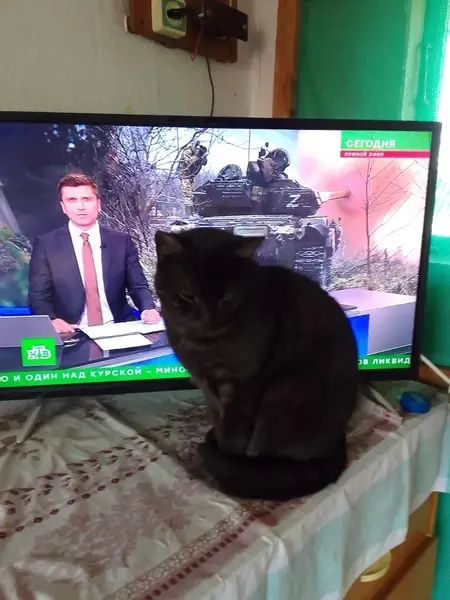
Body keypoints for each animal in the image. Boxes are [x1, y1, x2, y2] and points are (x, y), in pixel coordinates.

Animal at [154, 227, 359, 501]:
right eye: (188, 295)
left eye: (226, 298)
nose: (209, 318)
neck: (204, 345)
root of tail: (339, 441)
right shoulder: (206, 384)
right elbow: (218, 415)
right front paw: (217, 436)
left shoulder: (242, 383)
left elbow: (234, 430)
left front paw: (225, 458)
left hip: (281, 396)